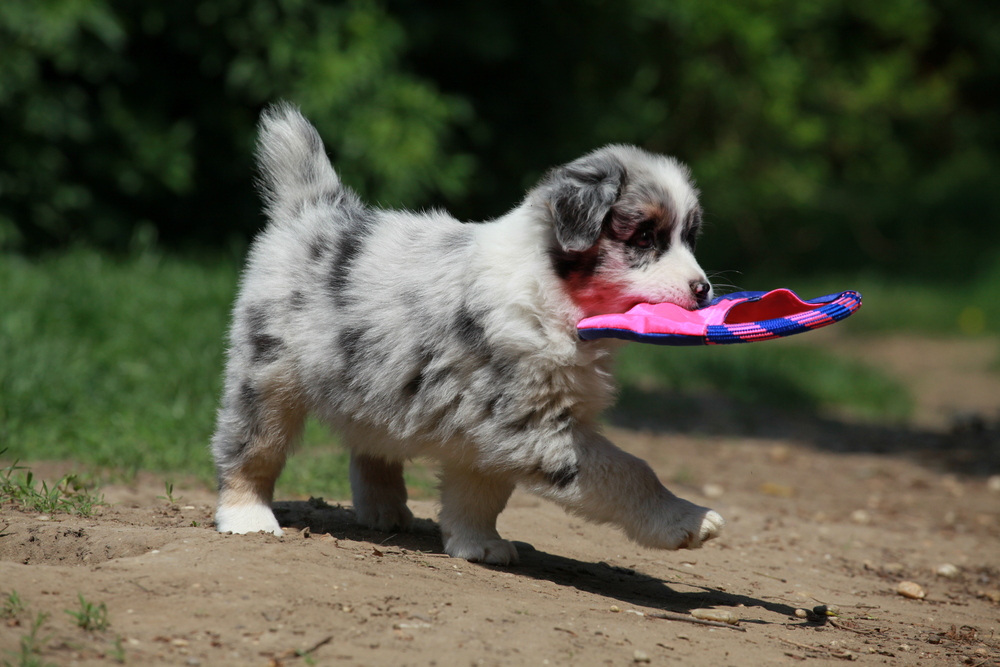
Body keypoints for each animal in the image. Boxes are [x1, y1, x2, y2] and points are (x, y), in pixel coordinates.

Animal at [213, 103, 728, 564]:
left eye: (691, 238)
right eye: (643, 238)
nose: (702, 289)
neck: (554, 298)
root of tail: (314, 209)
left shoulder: (488, 428)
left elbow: (478, 491)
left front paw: (477, 544)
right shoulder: (531, 423)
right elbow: (629, 471)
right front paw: (687, 520)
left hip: (374, 380)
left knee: (371, 441)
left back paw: (386, 511)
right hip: (267, 374)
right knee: (251, 448)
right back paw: (247, 516)